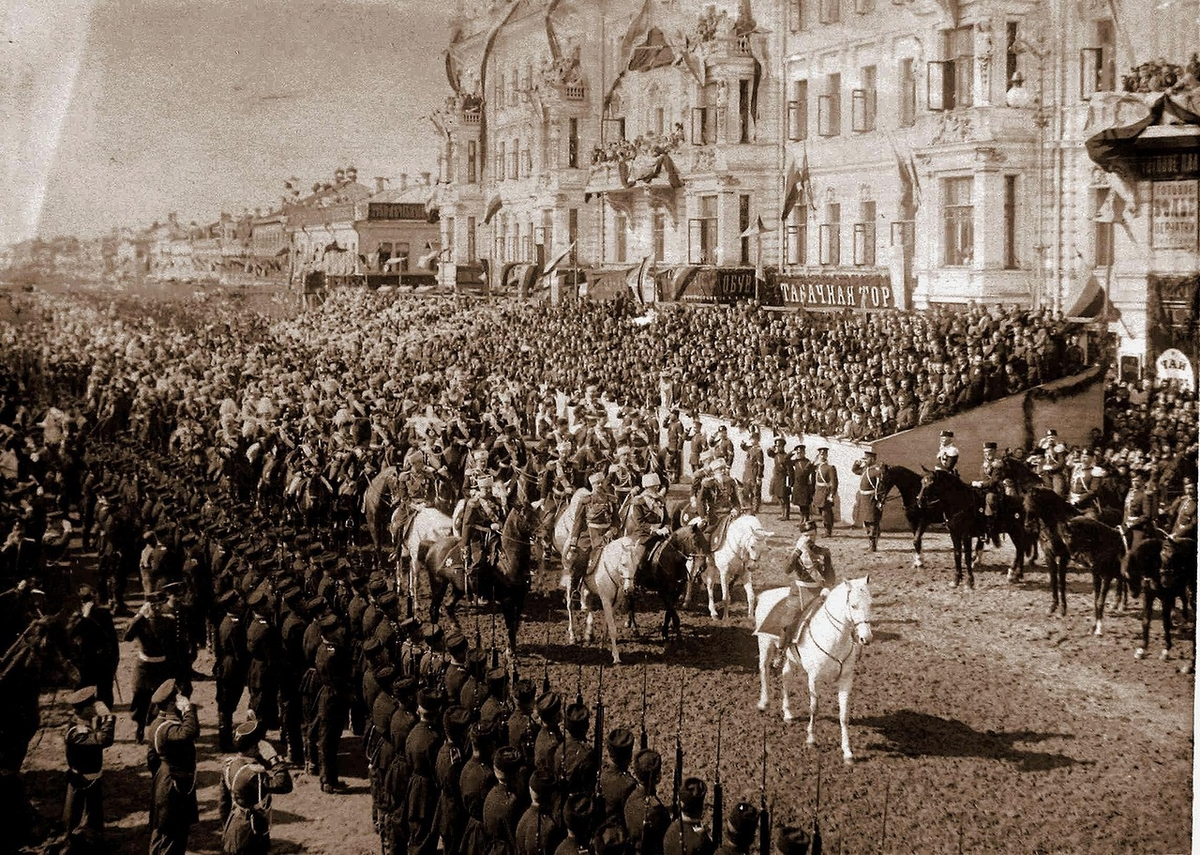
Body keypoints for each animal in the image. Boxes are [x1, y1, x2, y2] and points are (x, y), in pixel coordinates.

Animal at [748, 578, 873, 763]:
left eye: (870, 604)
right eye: (853, 605)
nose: (866, 638)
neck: (834, 638)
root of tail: (766, 594)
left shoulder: (846, 680)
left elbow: (843, 715)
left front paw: (847, 752)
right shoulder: (813, 679)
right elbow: (814, 707)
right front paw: (811, 739)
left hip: (790, 658)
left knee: (786, 677)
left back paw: (788, 713)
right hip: (764, 644)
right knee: (764, 670)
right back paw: (763, 703)